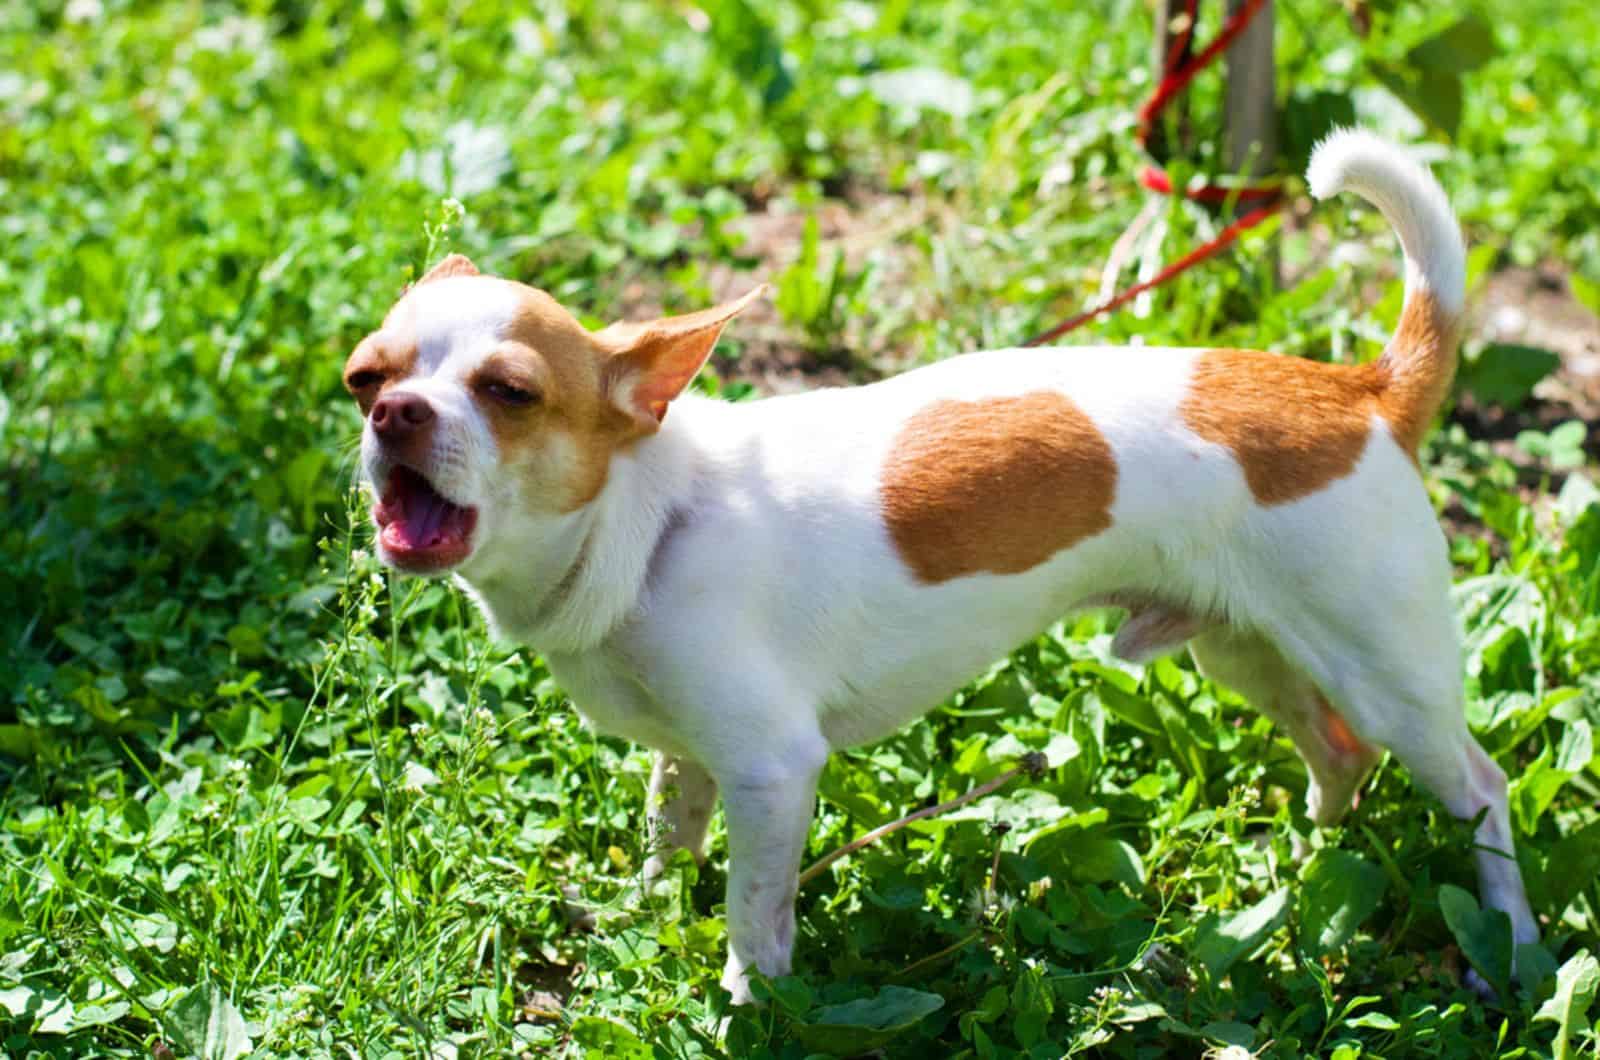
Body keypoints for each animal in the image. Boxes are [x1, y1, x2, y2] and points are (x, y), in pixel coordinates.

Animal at [347, 132, 1536, 1005]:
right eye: (365, 377)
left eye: (509, 392)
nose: (396, 414)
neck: (650, 519)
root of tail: (1362, 390)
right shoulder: (691, 756)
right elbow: (667, 839)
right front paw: (643, 912)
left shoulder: (772, 771)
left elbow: (754, 916)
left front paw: (748, 1007)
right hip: (1251, 652)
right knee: (1340, 756)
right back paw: (1306, 866)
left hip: (1384, 671)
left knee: (1477, 787)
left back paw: (1515, 950)